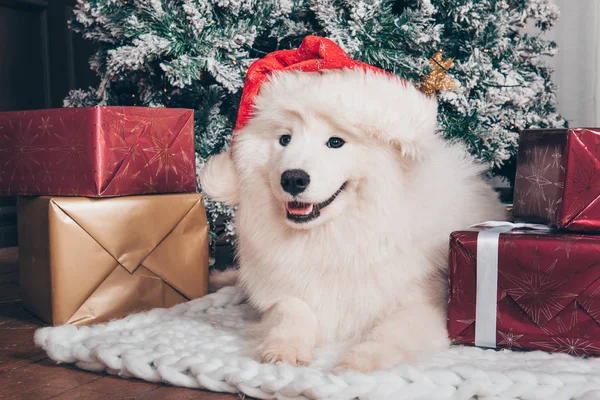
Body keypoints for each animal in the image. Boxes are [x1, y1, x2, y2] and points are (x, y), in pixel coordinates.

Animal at [198, 68, 506, 372]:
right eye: (285, 139)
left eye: (335, 142)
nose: (293, 178)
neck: (335, 236)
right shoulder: (286, 293)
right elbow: (291, 312)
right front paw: (284, 349)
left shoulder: (425, 304)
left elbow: (389, 333)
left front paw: (357, 362)